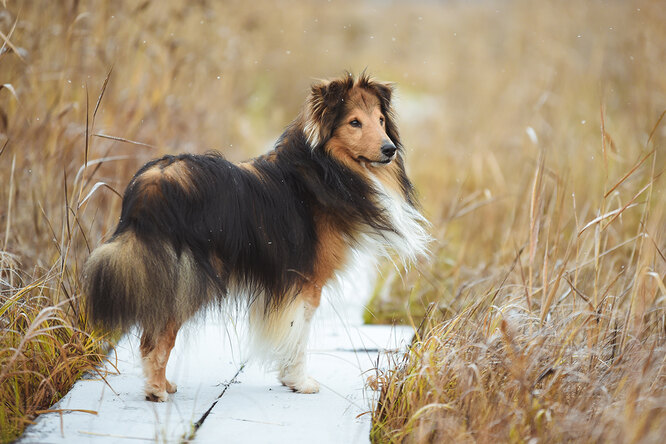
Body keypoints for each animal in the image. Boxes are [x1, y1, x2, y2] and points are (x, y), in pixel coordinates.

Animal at [83, 73, 428, 402]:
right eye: (354, 122)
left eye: (380, 120)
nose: (389, 149)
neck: (322, 168)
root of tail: (150, 185)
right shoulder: (308, 282)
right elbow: (299, 336)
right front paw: (300, 382)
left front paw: (289, 379)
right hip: (188, 278)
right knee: (158, 338)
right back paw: (155, 390)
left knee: (148, 336)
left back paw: (163, 384)